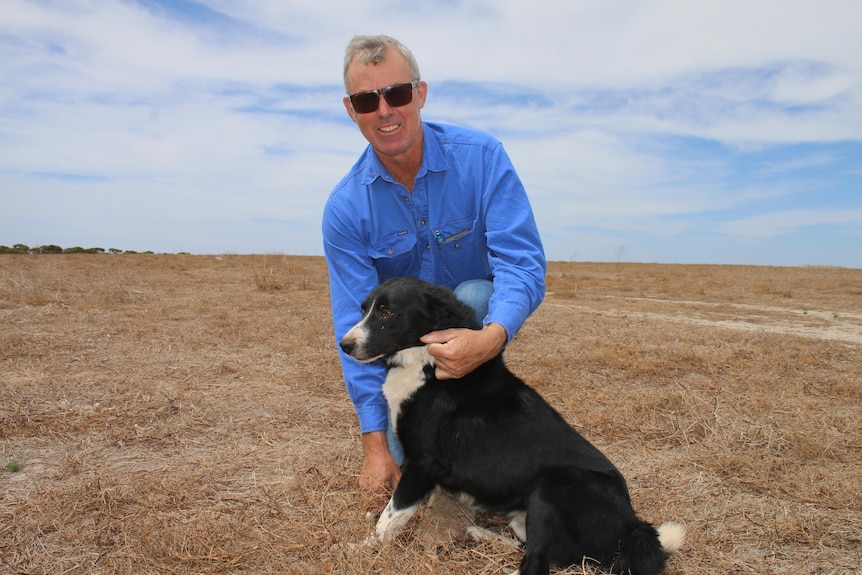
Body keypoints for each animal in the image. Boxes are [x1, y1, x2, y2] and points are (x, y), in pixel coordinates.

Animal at [340, 276, 684, 572]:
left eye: (387, 312)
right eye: (364, 308)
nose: (344, 345)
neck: (424, 361)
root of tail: (631, 524)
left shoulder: (422, 464)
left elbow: (393, 513)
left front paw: (364, 546)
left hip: (550, 487)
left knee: (536, 563)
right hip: (526, 515)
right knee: (530, 548)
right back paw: (479, 533)